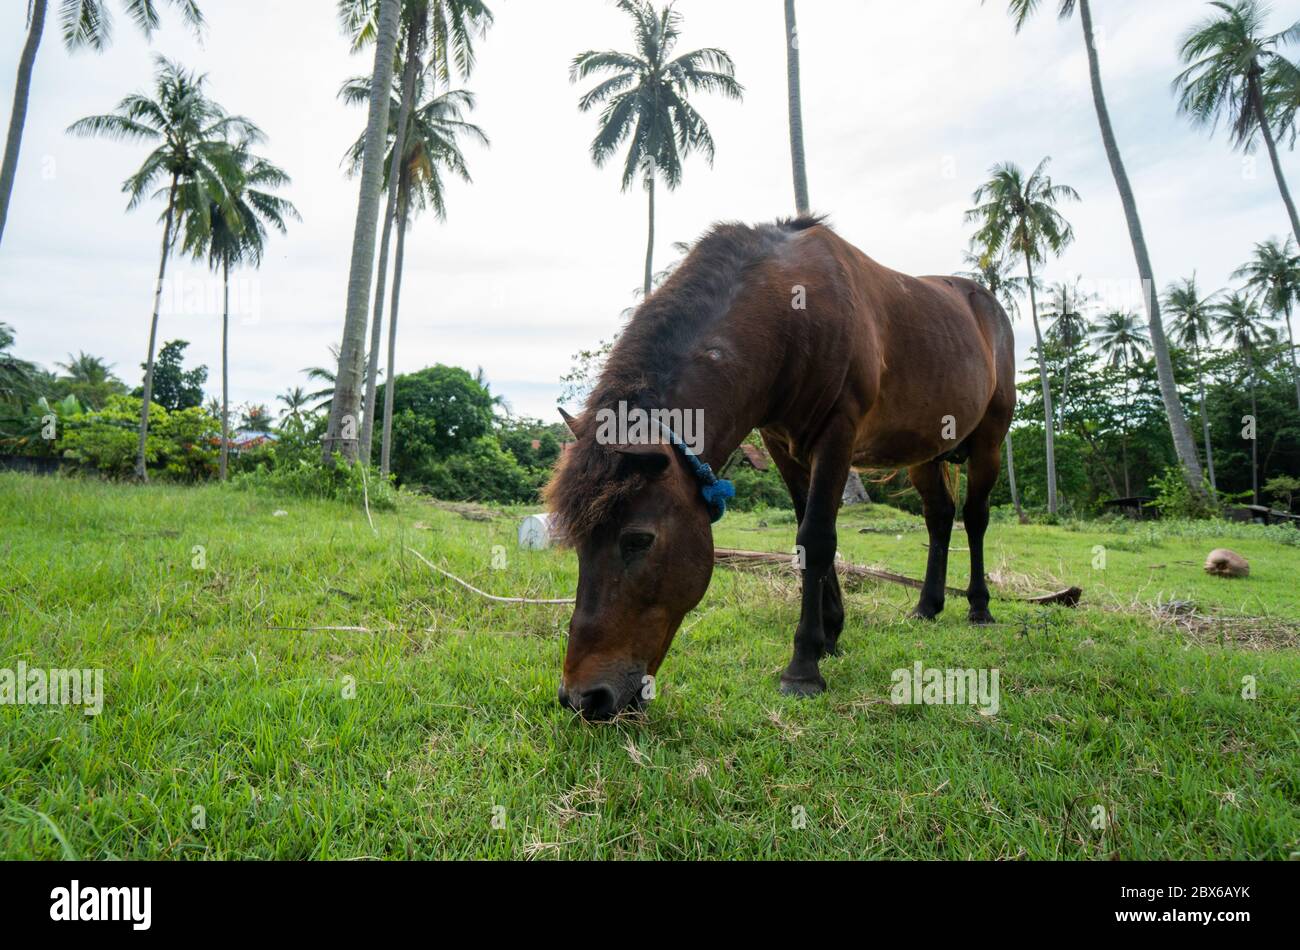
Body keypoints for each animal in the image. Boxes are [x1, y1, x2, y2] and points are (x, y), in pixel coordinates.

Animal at [545, 215, 1015, 720]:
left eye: (638, 540)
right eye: (579, 544)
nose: (582, 698)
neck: (791, 314)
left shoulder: (838, 432)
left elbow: (817, 537)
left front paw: (804, 666)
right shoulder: (782, 444)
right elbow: (807, 533)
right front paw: (830, 635)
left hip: (990, 439)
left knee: (975, 518)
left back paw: (979, 608)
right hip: (925, 452)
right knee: (940, 518)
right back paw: (927, 607)